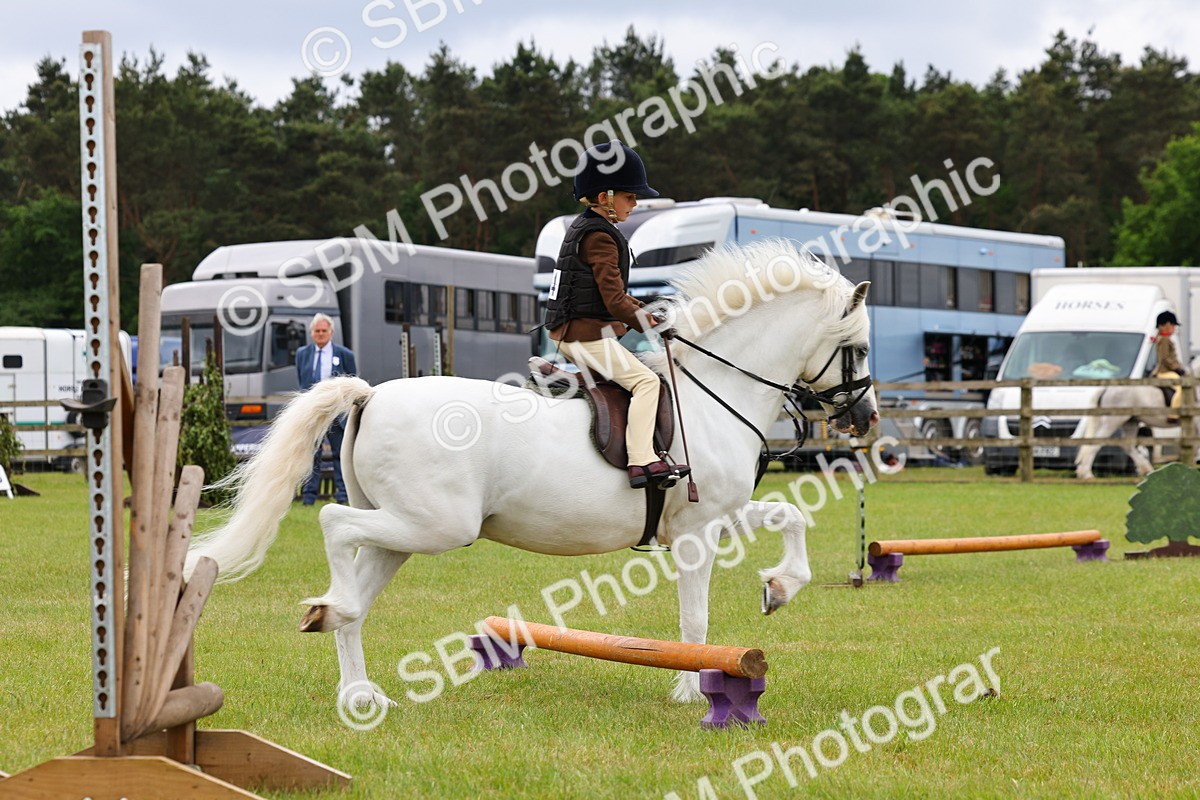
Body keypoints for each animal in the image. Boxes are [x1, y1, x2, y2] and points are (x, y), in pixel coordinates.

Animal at [185, 239, 879, 706]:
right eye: (859, 349)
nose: (865, 418)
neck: (715, 391)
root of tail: (372, 393)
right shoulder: (696, 530)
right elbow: (695, 621)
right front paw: (691, 692)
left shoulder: (719, 516)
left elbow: (791, 517)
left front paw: (780, 588)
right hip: (435, 525)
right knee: (333, 522)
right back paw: (333, 610)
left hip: (402, 531)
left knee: (356, 587)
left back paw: (355, 682)